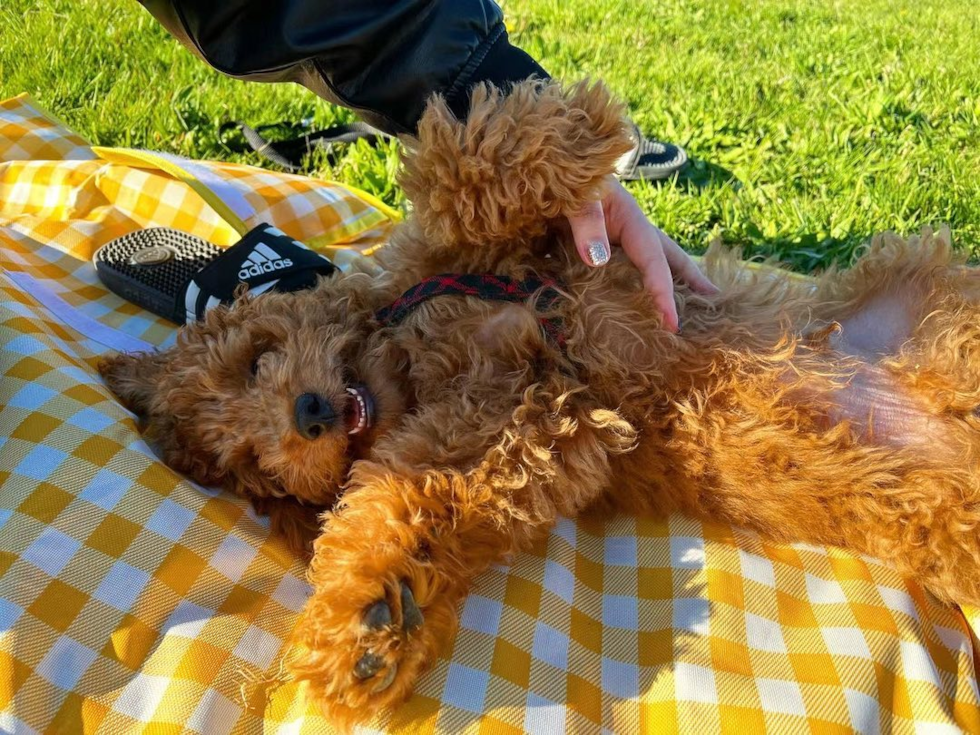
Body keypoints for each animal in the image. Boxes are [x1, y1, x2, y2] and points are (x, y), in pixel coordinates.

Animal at [97, 82, 980, 732]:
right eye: (255, 472)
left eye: (255, 358)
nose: (308, 416)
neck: (410, 355)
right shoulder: (533, 425)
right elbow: (402, 500)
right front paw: (368, 619)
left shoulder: (528, 272)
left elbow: (464, 180)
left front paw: (583, 125)